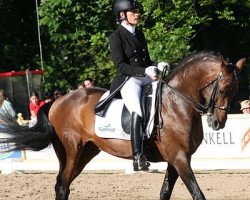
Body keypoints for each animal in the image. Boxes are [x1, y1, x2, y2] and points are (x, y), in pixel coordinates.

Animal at [0, 52, 246, 200]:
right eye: (223, 89)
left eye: (235, 91)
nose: (217, 123)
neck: (177, 103)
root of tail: (57, 101)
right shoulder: (179, 157)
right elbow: (197, 193)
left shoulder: (176, 159)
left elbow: (165, 192)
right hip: (71, 150)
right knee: (62, 185)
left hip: (86, 152)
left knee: (64, 184)